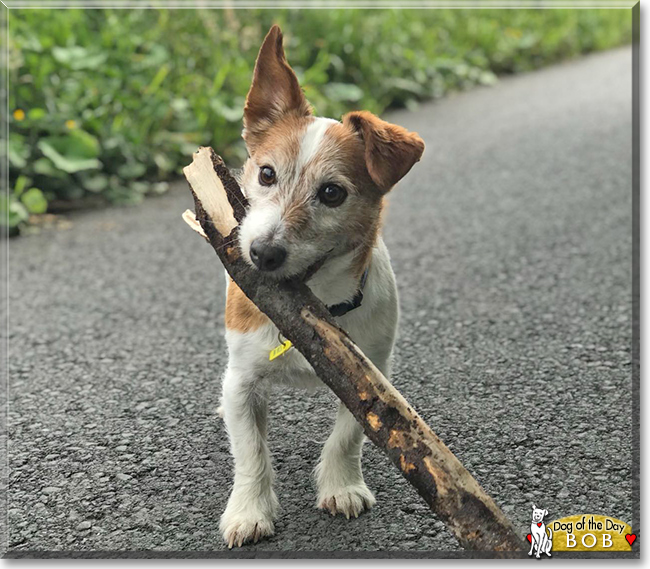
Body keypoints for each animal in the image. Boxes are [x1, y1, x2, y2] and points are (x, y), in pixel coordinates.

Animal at [218, 25, 426, 544]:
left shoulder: (371, 376)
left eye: (332, 193)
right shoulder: (242, 380)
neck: (316, 311)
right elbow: (251, 451)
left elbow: (347, 435)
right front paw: (250, 511)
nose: (263, 253)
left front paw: (341, 486)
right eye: (266, 173)